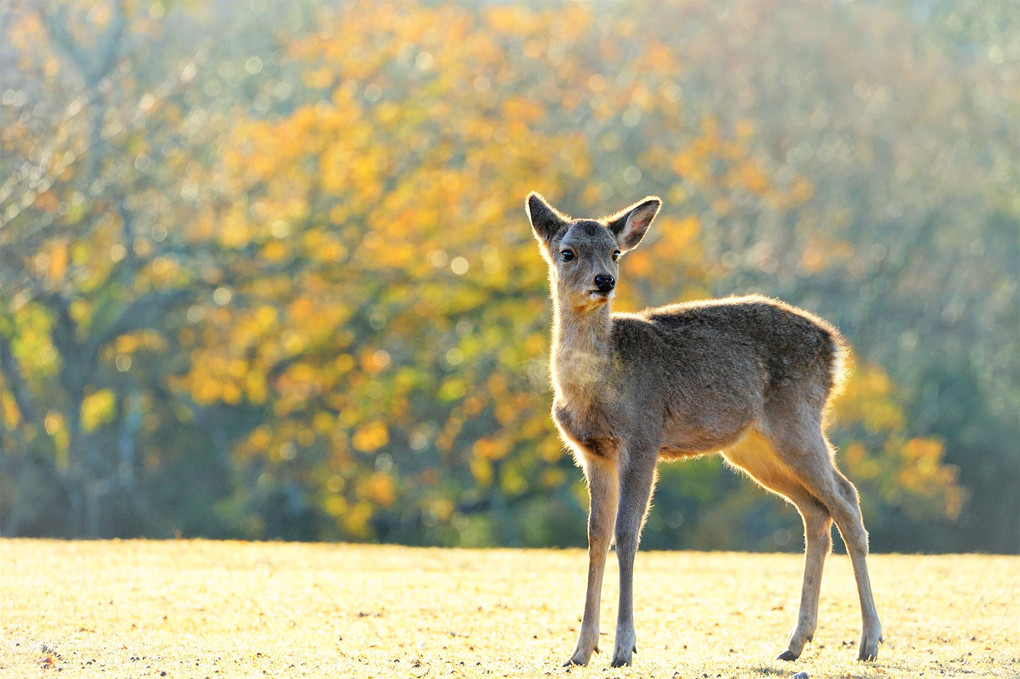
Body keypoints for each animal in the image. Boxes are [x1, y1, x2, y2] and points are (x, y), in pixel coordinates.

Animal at [526, 191, 885, 664]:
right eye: (568, 253)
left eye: (615, 251)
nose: (604, 281)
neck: (595, 390)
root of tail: (835, 347)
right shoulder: (592, 452)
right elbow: (596, 535)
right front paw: (581, 651)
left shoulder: (643, 437)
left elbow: (626, 532)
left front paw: (624, 646)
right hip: (751, 447)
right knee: (816, 510)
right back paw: (794, 643)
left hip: (797, 420)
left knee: (845, 499)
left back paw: (869, 640)